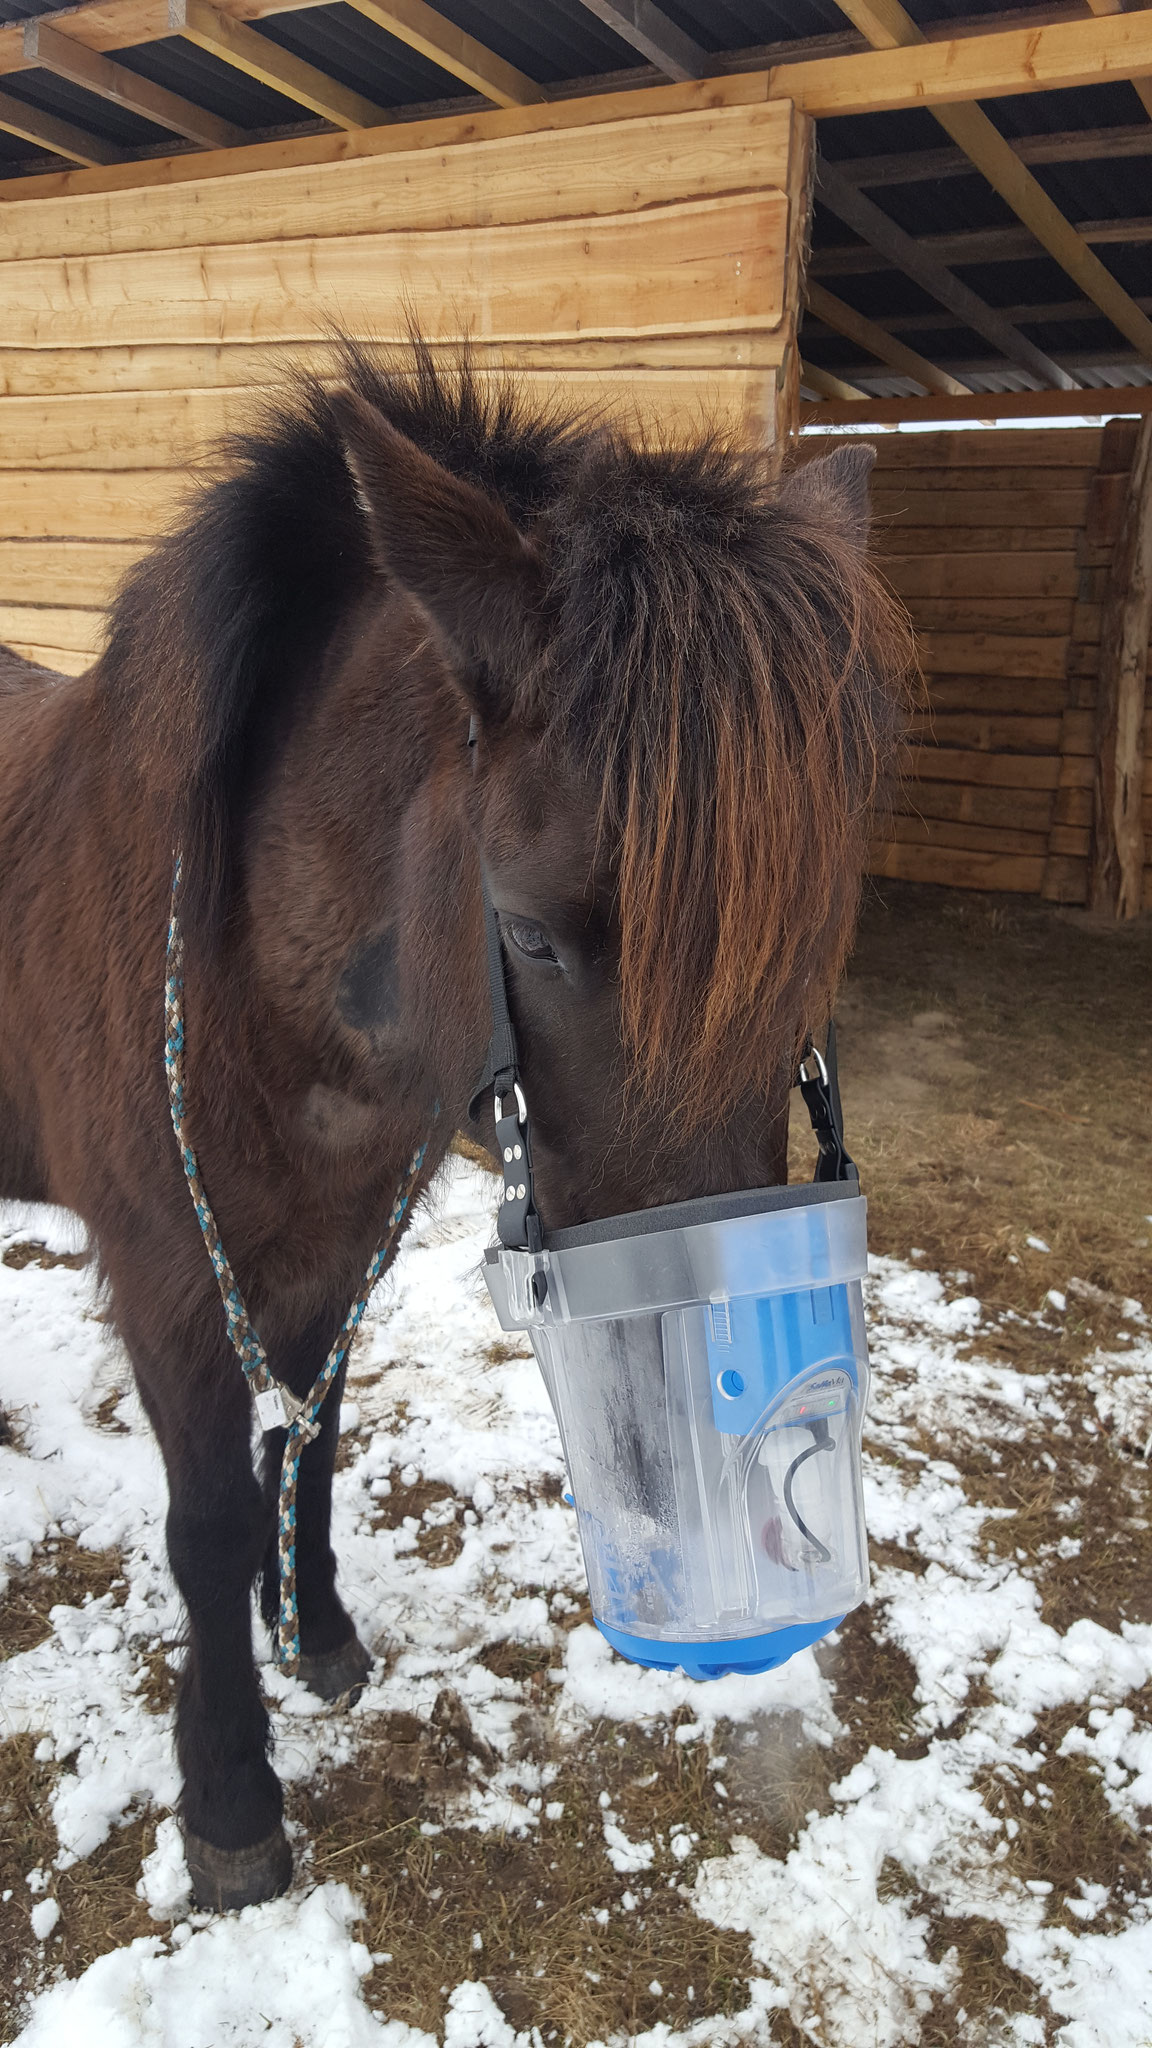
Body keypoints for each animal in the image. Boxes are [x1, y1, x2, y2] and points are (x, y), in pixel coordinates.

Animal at [0, 339, 906, 1916]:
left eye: (814, 943)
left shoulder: (334, 1244)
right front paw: (229, 1798)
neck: (247, 966)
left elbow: (313, 1442)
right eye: (532, 937)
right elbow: (211, 1518)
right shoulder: (173, 1274)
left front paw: (320, 1640)